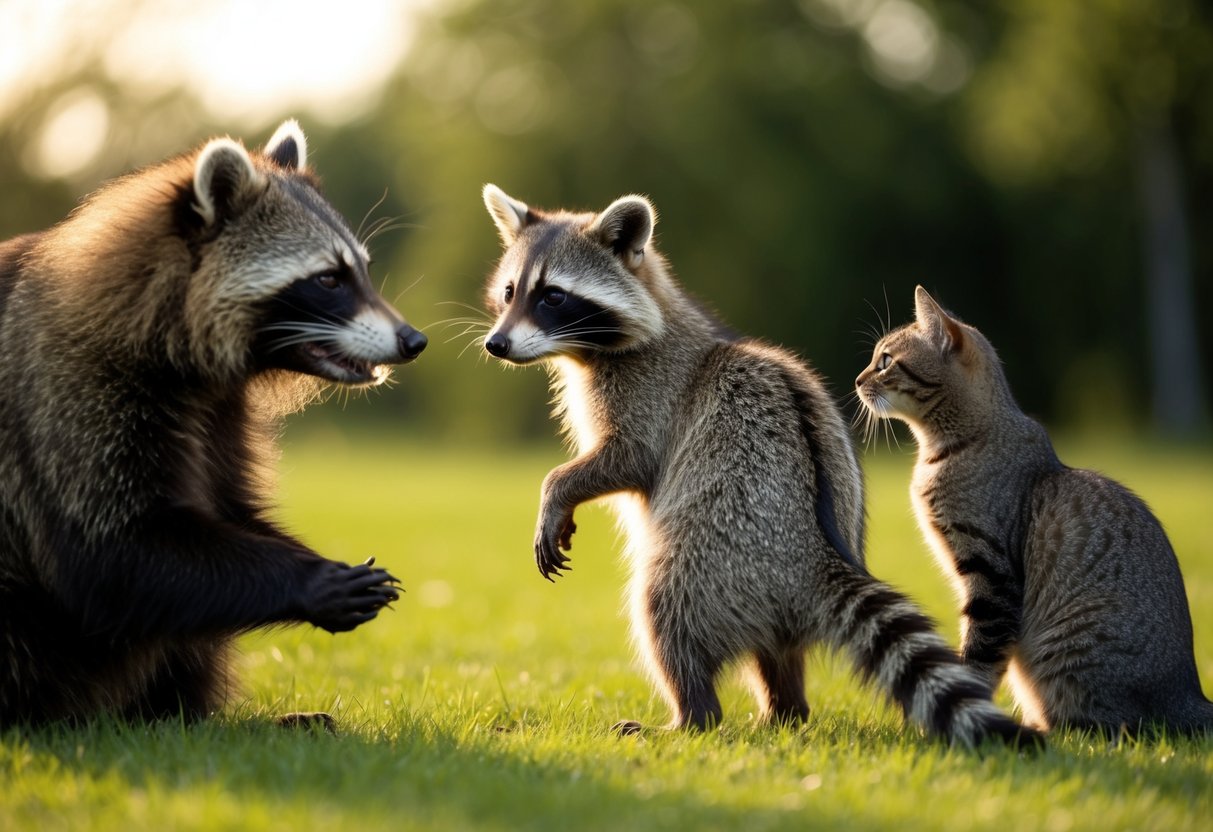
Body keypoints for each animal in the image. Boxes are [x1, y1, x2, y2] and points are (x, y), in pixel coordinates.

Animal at [0, 120, 426, 728]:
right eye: (329, 279)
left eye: (362, 272)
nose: (414, 340)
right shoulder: (70, 391)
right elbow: (114, 548)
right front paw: (308, 578)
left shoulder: (221, 412)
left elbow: (225, 510)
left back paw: (183, 714)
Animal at [480, 185, 1039, 747]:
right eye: (509, 292)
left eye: (552, 296)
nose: (496, 344)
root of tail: (818, 559)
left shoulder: (652, 393)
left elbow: (629, 457)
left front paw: (559, 489)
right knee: (778, 651)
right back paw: (784, 707)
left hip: (715, 558)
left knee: (664, 608)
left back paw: (691, 713)